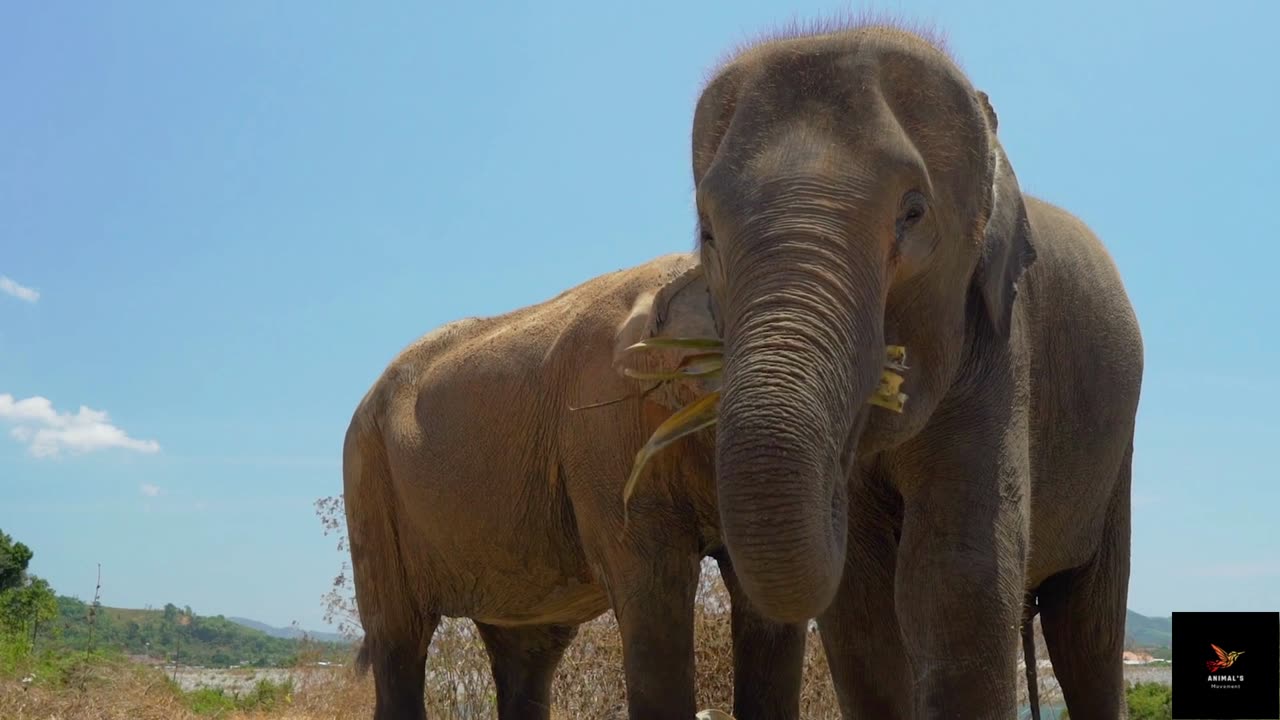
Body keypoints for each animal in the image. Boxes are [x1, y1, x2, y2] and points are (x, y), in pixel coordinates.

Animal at [670, 19, 1152, 712]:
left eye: (913, 212)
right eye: (707, 231)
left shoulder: (998, 341)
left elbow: (958, 576)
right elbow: (861, 608)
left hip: (1116, 454)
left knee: (1088, 627)